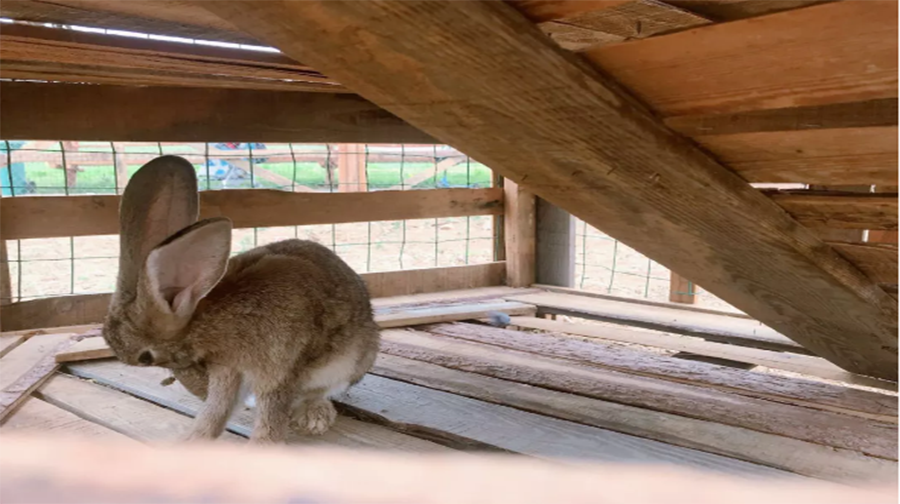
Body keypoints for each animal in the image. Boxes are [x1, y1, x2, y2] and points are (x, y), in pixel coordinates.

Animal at [102, 156, 380, 442]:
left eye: (145, 357)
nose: (197, 389)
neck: (209, 322)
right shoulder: (228, 369)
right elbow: (216, 409)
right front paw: (195, 440)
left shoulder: (277, 369)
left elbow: (270, 420)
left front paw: (261, 446)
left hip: (350, 363)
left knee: (319, 392)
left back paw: (313, 416)